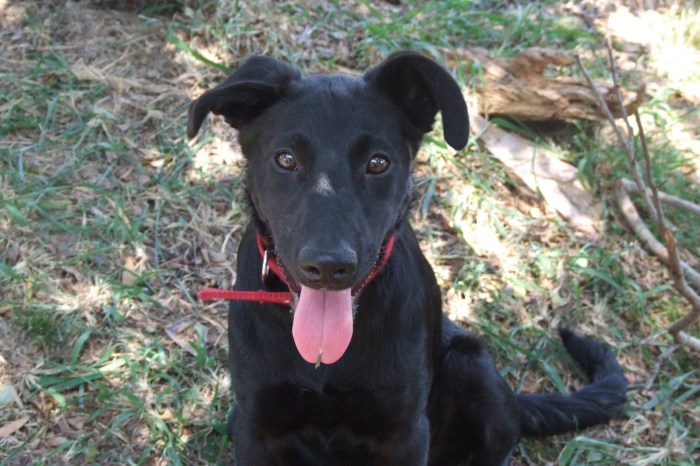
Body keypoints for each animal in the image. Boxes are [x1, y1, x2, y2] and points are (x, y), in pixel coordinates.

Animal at [187, 52, 628, 466]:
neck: (324, 360)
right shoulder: (257, 425)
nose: (329, 267)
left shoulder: (404, 431)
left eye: (378, 163)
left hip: (472, 367)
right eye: (285, 159)